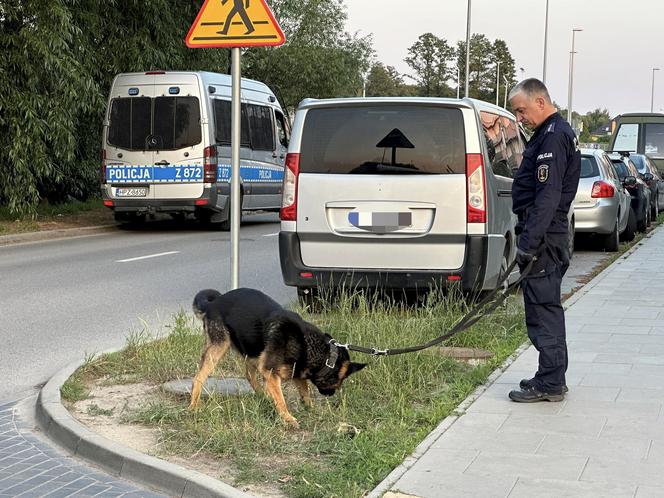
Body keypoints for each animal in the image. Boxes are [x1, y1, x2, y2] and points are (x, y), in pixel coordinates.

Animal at [191, 288, 368, 428]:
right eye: (340, 381)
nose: (331, 395)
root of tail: (213, 303)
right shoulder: (270, 372)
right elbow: (282, 400)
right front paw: (288, 418)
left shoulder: (296, 372)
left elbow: (304, 391)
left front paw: (310, 408)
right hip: (219, 348)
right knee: (199, 376)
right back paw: (194, 406)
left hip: (252, 349)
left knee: (249, 374)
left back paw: (264, 396)